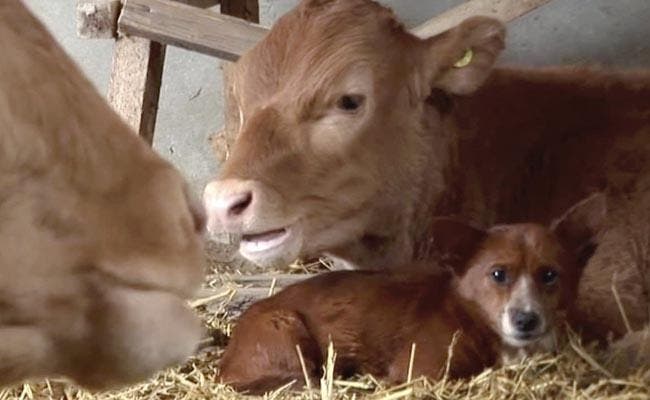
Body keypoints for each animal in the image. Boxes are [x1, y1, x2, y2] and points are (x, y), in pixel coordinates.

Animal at [216, 194, 604, 394]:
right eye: (498, 274)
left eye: (550, 275)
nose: (526, 319)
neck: (472, 318)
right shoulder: (419, 372)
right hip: (285, 328)